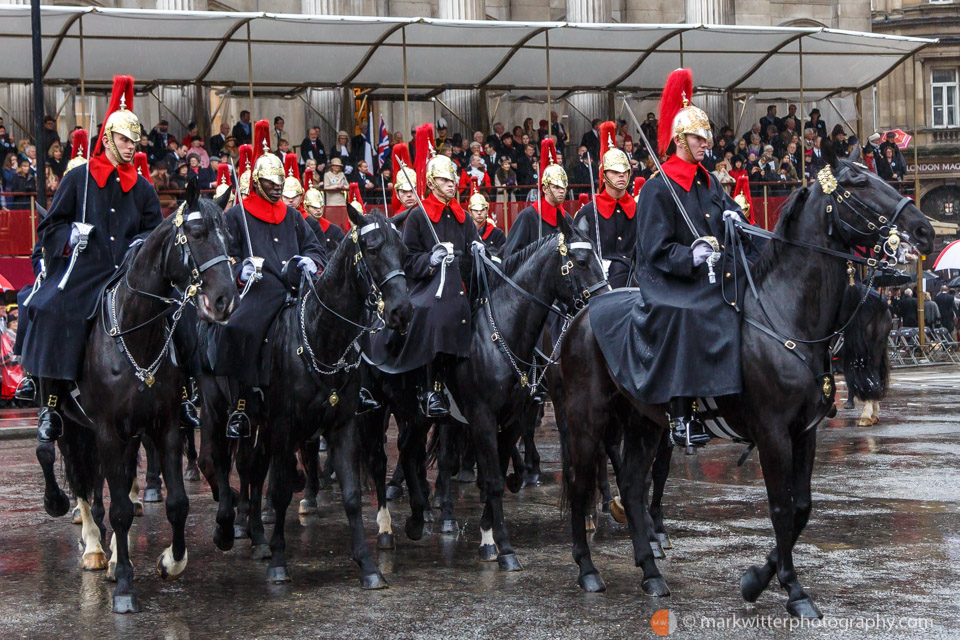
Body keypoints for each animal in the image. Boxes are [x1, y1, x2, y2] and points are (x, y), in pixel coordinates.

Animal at [39, 181, 238, 616]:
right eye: (196, 234)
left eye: (229, 239)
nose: (225, 301)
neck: (136, 333)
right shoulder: (108, 431)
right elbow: (116, 509)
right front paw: (126, 585)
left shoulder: (163, 426)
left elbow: (176, 503)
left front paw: (170, 561)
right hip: (71, 424)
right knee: (75, 476)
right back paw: (92, 545)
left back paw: (112, 555)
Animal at [560, 148, 932, 616]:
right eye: (860, 183)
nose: (924, 230)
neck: (785, 315)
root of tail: (582, 315)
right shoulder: (772, 433)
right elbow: (781, 508)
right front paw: (794, 591)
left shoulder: (804, 431)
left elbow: (802, 507)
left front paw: (757, 580)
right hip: (587, 417)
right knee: (579, 482)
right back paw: (587, 569)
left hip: (644, 421)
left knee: (630, 485)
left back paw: (650, 573)